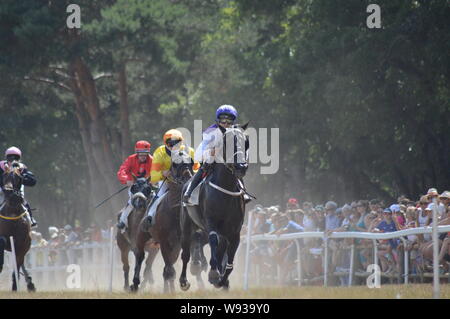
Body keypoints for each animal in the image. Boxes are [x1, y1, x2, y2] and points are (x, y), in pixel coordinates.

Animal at [0, 164, 35, 292]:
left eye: (18, 177)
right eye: (4, 175)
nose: (7, 190)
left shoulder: (24, 243)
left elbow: (18, 263)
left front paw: (15, 287)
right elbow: (2, 240)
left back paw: (29, 283)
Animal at [133, 149, 194, 294]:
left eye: (191, 162)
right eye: (175, 165)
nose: (188, 177)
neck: (175, 212)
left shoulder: (178, 243)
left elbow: (170, 268)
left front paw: (173, 289)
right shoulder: (164, 242)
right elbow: (169, 269)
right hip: (142, 236)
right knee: (140, 255)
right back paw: (135, 283)